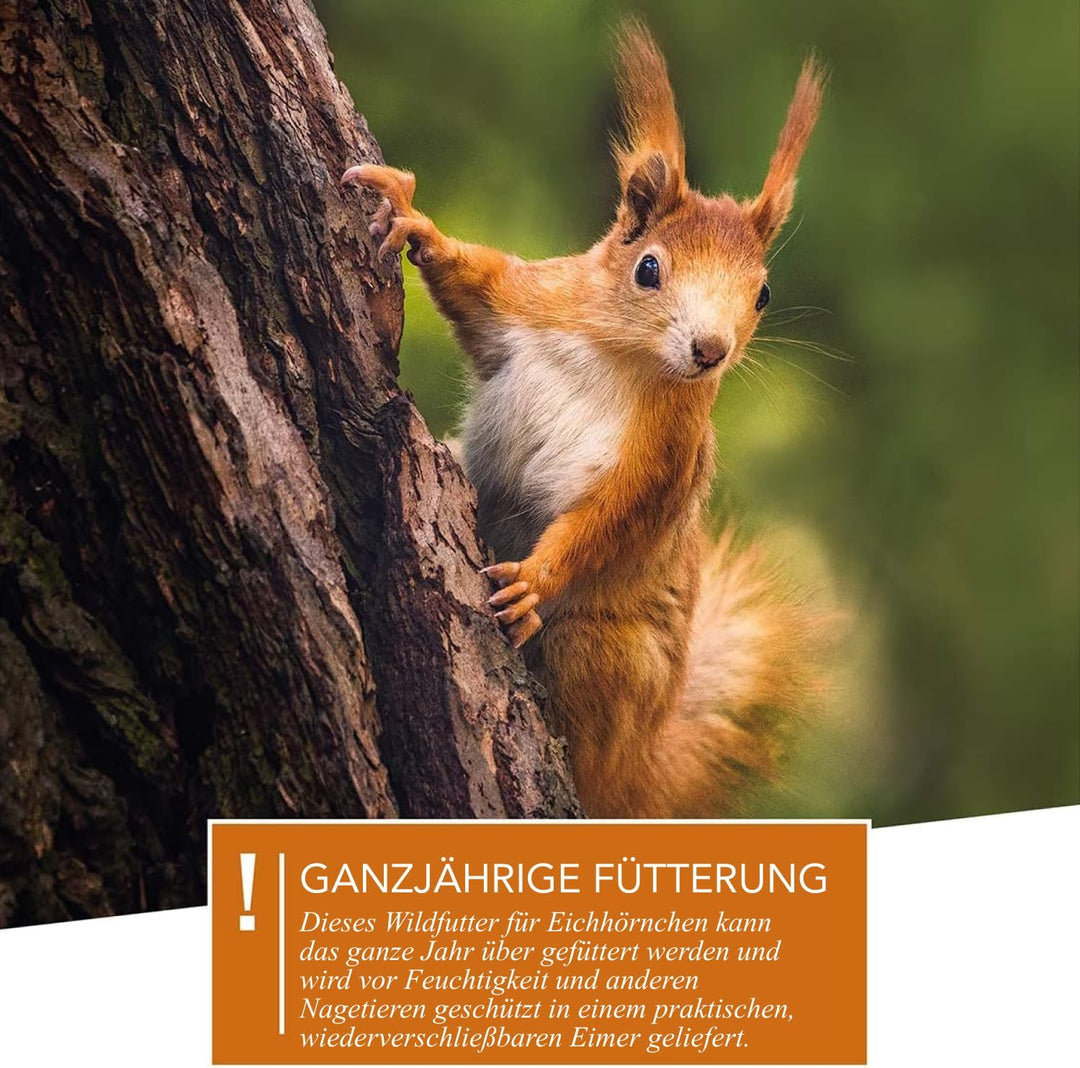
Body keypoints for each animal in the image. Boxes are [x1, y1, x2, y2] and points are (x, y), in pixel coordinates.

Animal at [342, 21, 828, 819]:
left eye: (761, 295)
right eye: (648, 268)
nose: (710, 351)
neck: (621, 356)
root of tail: (640, 765)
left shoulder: (663, 459)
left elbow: (608, 520)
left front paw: (535, 581)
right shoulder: (530, 301)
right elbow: (473, 282)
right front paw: (417, 223)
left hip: (607, 657)